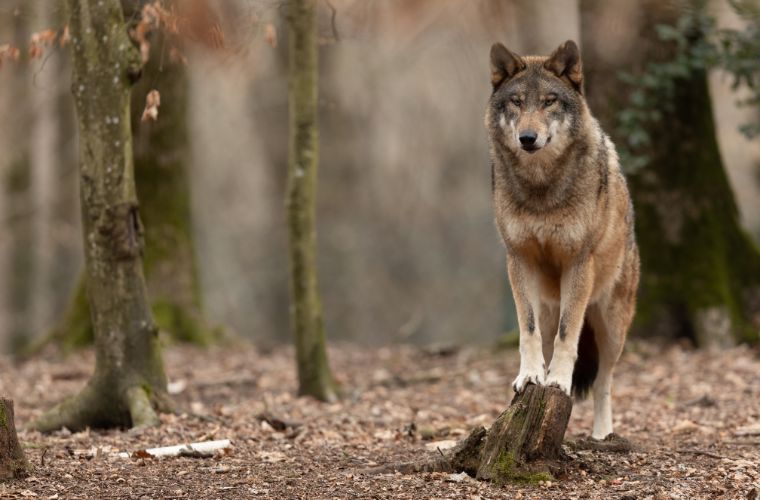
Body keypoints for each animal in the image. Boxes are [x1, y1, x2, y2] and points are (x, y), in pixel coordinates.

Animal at [484, 40, 640, 438]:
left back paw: (602, 435)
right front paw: (530, 377)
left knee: (603, 383)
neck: (541, 188)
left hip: (611, 327)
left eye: (549, 102)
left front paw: (557, 382)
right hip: (550, 305)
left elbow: (568, 336)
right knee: (547, 335)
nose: (527, 138)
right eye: (517, 102)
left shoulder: (577, 262)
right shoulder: (518, 259)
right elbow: (528, 331)